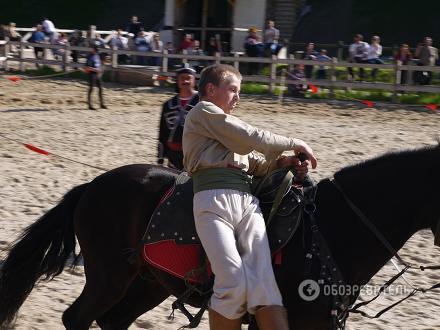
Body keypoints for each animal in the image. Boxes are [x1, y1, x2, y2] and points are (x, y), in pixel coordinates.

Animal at [0, 146, 440, 328]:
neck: (329, 231)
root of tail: (92, 186)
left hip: (149, 282)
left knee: (113, 321)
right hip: (109, 277)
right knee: (78, 318)